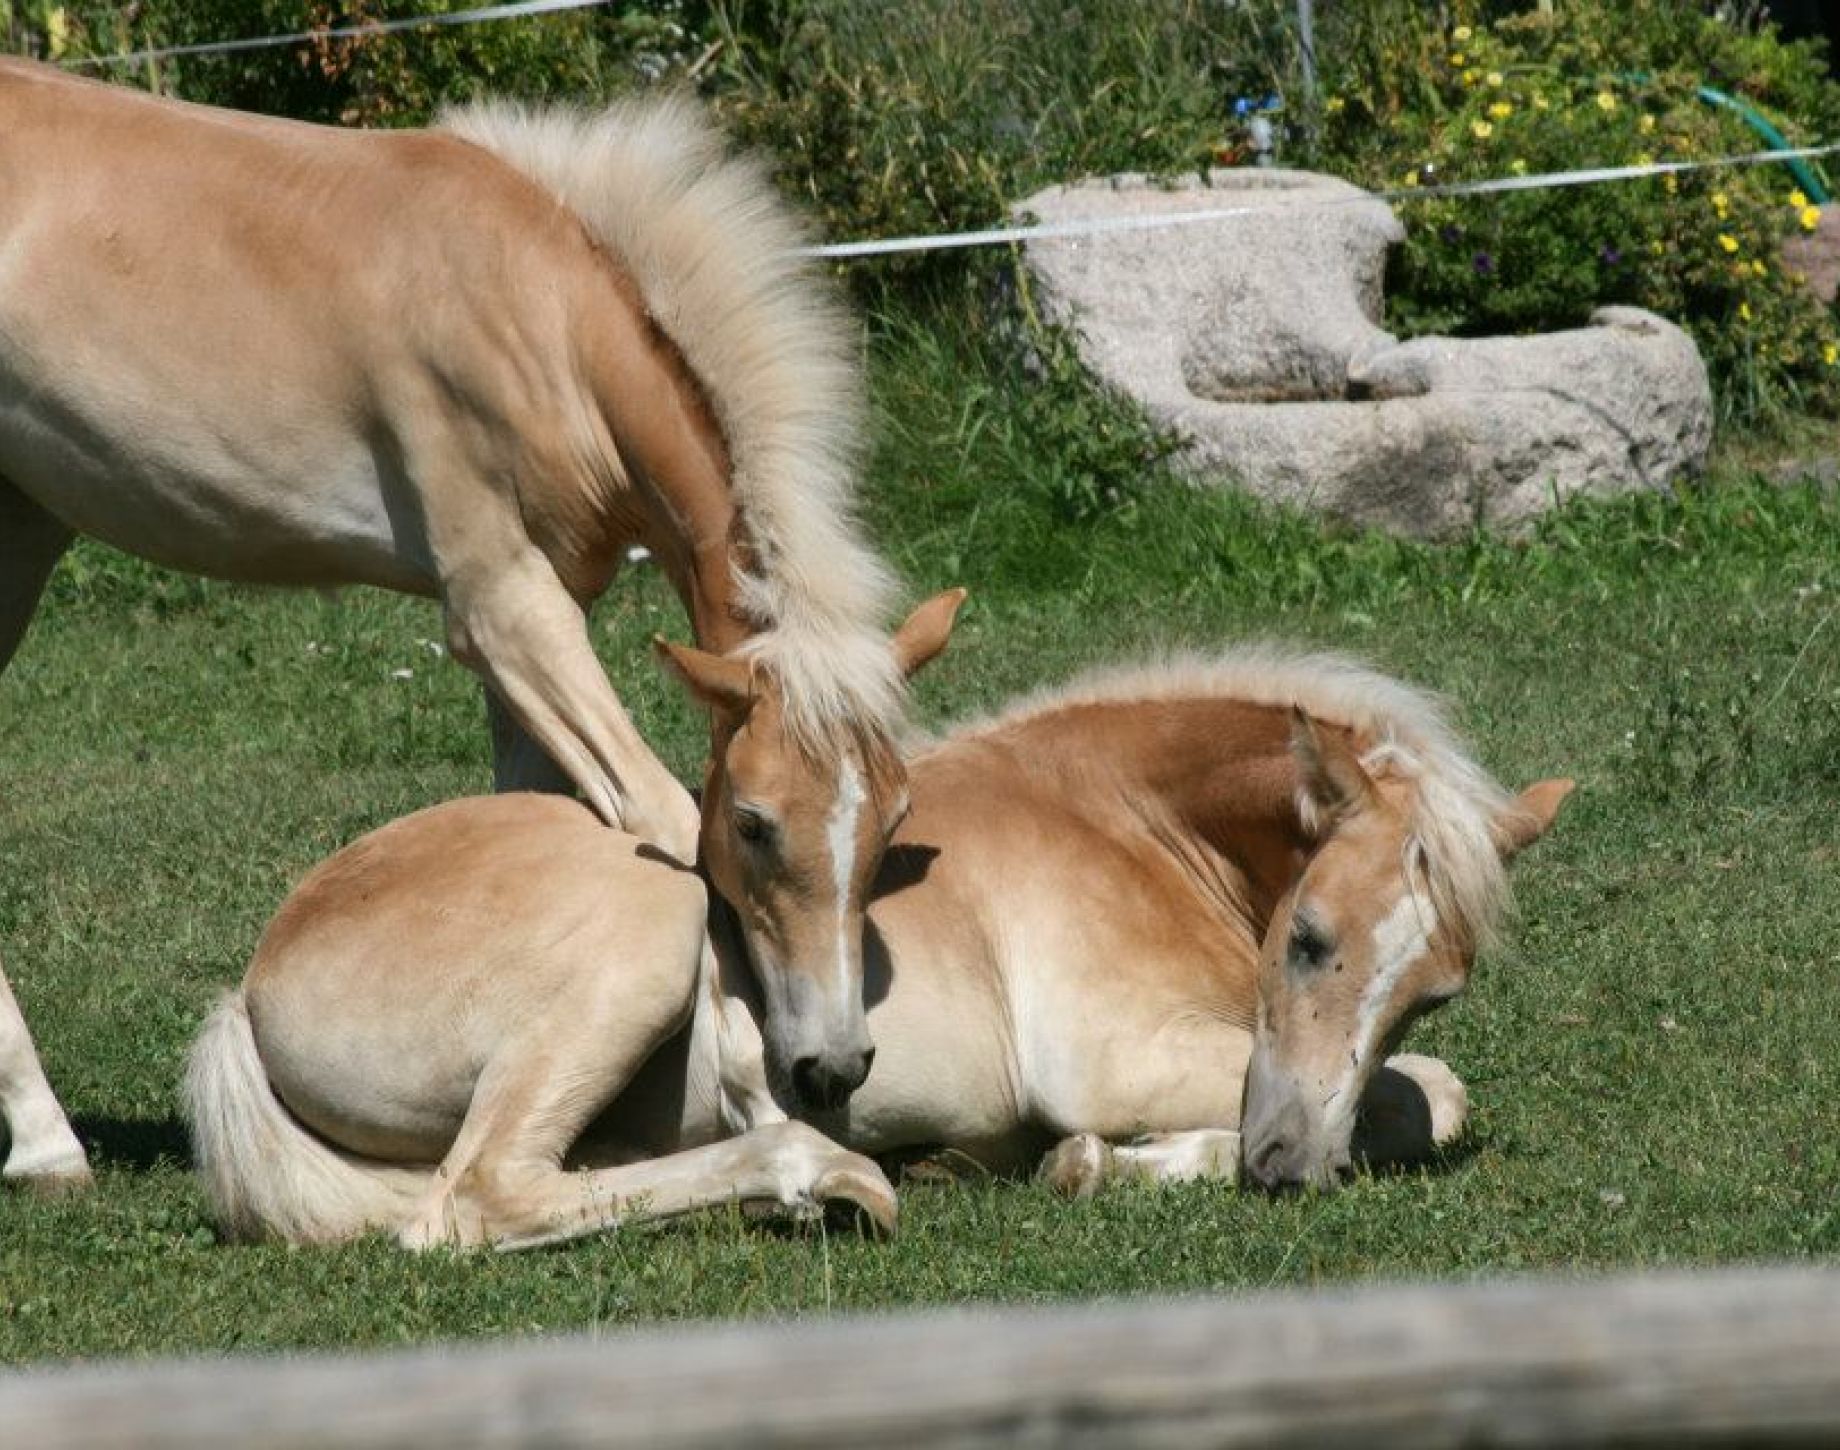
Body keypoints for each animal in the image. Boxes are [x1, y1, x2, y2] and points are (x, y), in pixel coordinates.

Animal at [0, 60, 953, 1189]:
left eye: (892, 818)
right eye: (756, 823)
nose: (832, 1065)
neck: (538, 318)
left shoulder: (537, 637)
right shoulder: (506, 613)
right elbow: (658, 821)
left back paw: (44, 1144)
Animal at [184, 647, 1570, 1248]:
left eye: (1434, 989)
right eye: (1310, 940)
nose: (1288, 1169)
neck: (1124, 821)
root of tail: (250, 987)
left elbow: (1420, 1091)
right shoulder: (1117, 1061)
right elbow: (1420, 1102)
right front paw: (1092, 1164)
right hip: (643, 932)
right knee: (478, 1199)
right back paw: (820, 1172)